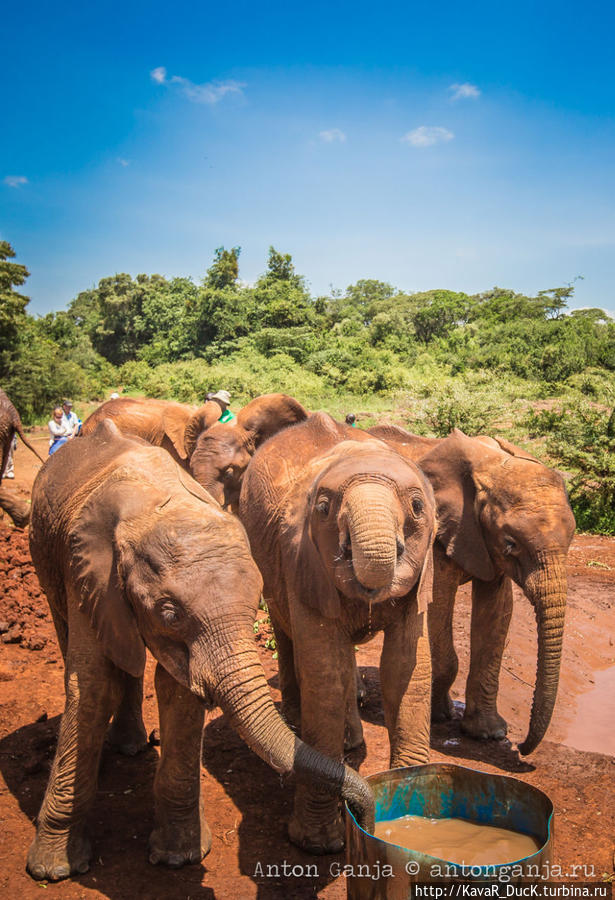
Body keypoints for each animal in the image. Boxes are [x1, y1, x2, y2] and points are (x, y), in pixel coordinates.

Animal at [26, 420, 372, 880]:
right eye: (169, 613)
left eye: (255, 602)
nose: (362, 820)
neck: (156, 507)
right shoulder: (87, 570)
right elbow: (94, 686)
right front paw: (52, 871)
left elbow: (178, 690)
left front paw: (179, 858)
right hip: (46, 559)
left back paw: (131, 746)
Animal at [238, 412, 436, 856]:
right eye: (325, 509)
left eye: (417, 507)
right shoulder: (301, 559)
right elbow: (324, 675)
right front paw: (317, 845)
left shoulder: (422, 573)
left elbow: (406, 669)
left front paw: (419, 820)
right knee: (294, 638)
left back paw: (350, 744)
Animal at [370, 426, 576, 756]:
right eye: (511, 543)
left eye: (572, 537)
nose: (522, 747)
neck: (490, 465)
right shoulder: (438, 533)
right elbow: (437, 602)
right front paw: (439, 715)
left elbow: (497, 611)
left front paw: (488, 733)